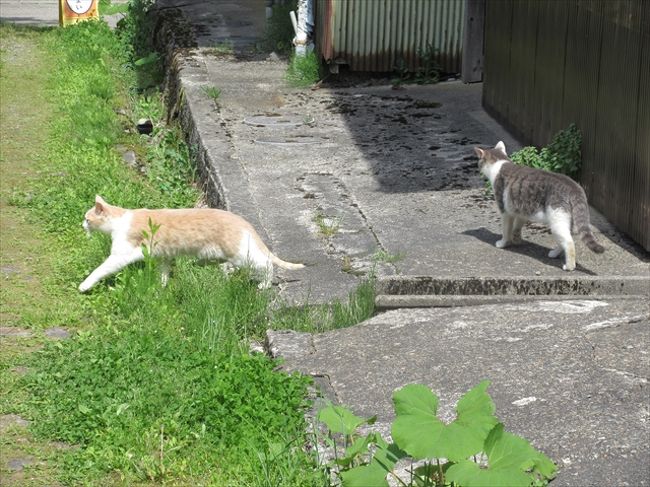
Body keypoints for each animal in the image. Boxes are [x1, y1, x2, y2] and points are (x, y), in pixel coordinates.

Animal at [79, 195, 304, 294]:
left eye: (87, 219)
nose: (82, 225)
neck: (120, 220)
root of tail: (243, 221)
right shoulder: (164, 256)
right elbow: (164, 273)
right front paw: (161, 287)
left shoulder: (120, 255)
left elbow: (99, 270)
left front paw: (84, 285)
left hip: (241, 254)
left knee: (265, 263)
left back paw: (264, 284)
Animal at [470, 140, 604, 270]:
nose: (478, 167)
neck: (499, 163)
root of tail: (574, 187)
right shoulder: (521, 212)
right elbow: (517, 228)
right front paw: (516, 240)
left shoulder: (505, 212)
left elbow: (506, 230)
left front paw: (503, 243)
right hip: (565, 220)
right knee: (565, 240)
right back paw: (554, 253)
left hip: (557, 220)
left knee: (569, 243)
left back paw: (569, 266)